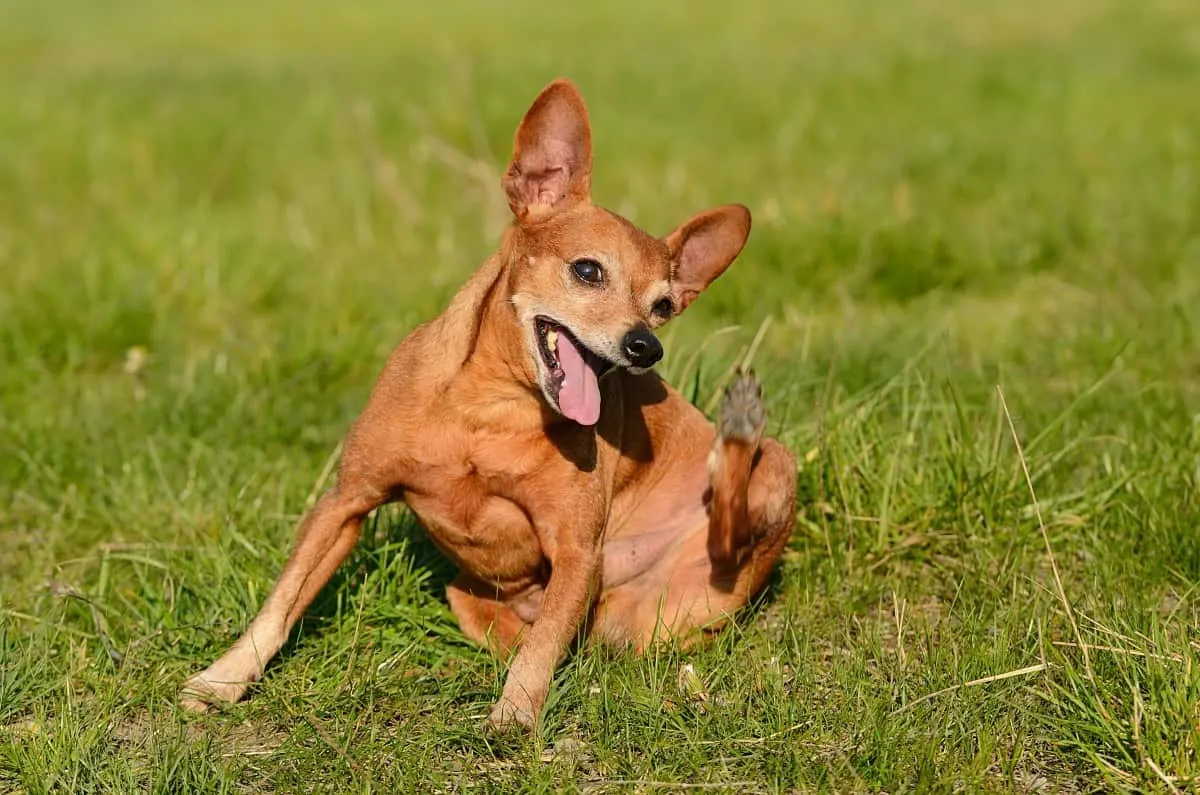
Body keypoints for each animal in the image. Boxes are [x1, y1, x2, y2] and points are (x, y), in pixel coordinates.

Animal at [180, 78, 796, 730]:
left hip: (766, 488)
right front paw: (222, 680)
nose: (645, 347)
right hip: (466, 596)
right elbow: (281, 603)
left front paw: (516, 712)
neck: (488, 413)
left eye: (663, 306)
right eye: (587, 271)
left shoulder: (577, 553)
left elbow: (543, 646)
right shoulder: (345, 503)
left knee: (724, 536)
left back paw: (738, 430)